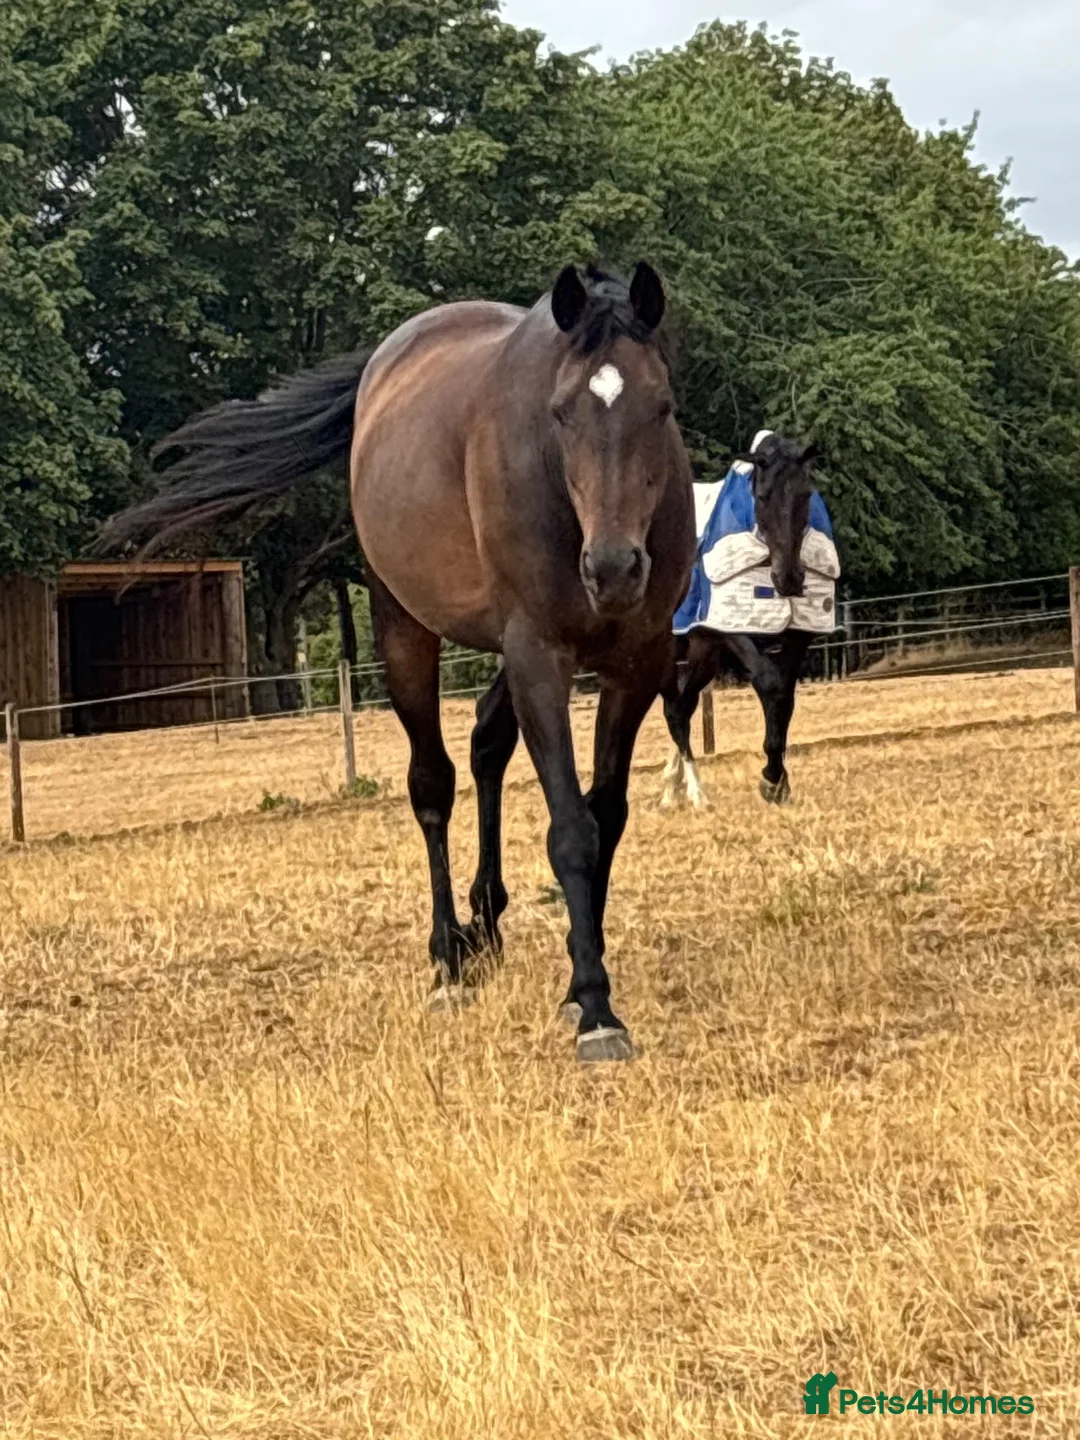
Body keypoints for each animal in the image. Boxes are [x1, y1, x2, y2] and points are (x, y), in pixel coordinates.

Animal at [99, 263, 695, 1064]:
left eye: (661, 406)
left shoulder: (636, 662)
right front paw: (596, 1007)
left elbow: (606, 820)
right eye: (561, 413)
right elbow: (572, 830)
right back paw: (448, 957)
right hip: (405, 628)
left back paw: (484, 924)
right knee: (433, 784)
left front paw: (579, 982)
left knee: (486, 743)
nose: (613, 569)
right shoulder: (540, 654)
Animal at [659, 432, 833, 811]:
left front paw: (777, 780)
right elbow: (769, 684)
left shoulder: (796, 636)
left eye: (806, 494)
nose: (789, 579)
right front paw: (772, 780)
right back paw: (696, 793)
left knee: (679, 706)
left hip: (700, 652)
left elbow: (784, 695)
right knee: (675, 710)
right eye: (763, 496)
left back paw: (673, 791)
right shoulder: (734, 632)